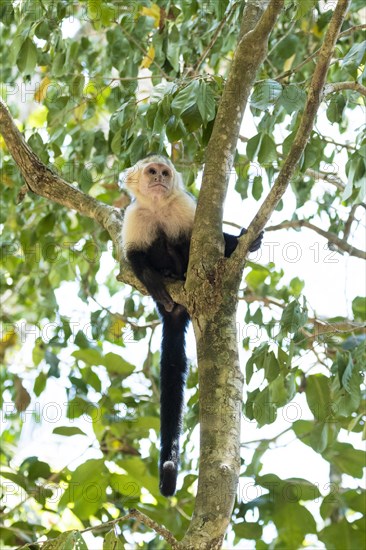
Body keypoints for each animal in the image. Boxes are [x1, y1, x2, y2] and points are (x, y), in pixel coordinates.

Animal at [121, 153, 262, 498]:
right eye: (151, 172)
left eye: (164, 172)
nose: (160, 178)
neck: (158, 207)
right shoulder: (134, 216)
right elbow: (132, 258)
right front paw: (151, 278)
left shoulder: (185, 206)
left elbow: (209, 241)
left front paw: (241, 241)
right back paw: (166, 280)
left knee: (178, 242)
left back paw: (181, 271)